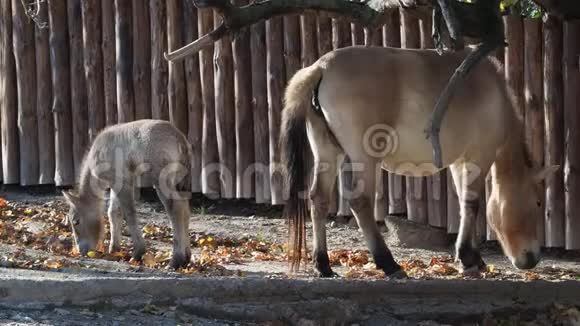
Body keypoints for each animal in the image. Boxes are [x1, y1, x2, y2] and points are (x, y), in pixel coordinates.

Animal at [62, 118, 193, 268]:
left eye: (76, 221)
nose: (81, 250)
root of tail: (180, 139)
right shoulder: (116, 183)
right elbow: (113, 212)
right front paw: (114, 249)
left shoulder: (123, 181)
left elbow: (129, 213)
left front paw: (138, 253)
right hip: (179, 181)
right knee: (185, 208)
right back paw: (186, 257)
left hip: (161, 179)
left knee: (175, 210)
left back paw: (175, 260)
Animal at [278, 44, 560, 278]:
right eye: (537, 203)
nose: (532, 258)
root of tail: (320, 67)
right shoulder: (479, 155)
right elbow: (473, 203)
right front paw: (468, 258)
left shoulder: (458, 161)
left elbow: (464, 203)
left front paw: (471, 258)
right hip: (364, 157)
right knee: (361, 203)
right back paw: (388, 264)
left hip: (327, 151)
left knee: (318, 199)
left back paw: (323, 265)